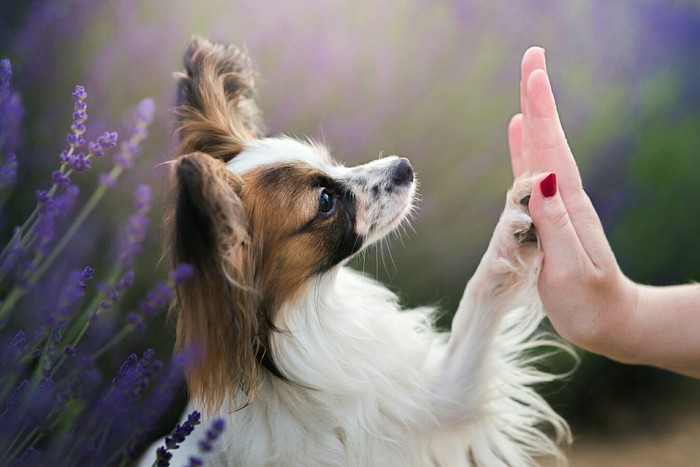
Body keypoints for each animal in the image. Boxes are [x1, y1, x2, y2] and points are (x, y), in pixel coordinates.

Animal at [152, 38, 568, 466]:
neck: (307, 310)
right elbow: (479, 292)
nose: (404, 166)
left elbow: (483, 297)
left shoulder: (439, 396)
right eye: (325, 201)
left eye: (330, 161)